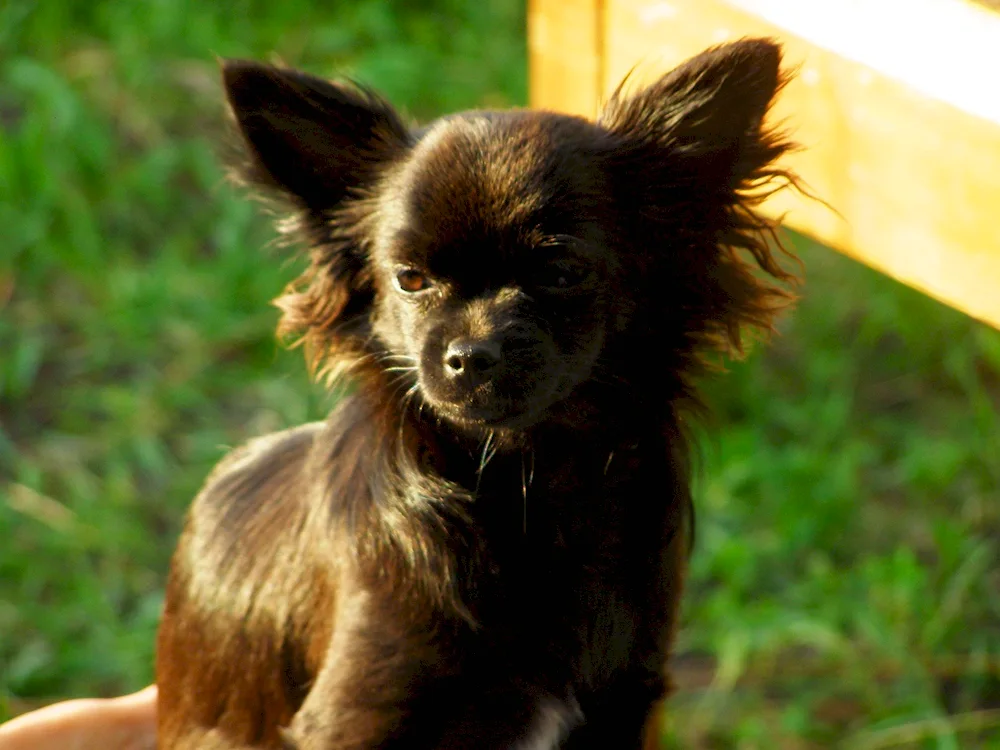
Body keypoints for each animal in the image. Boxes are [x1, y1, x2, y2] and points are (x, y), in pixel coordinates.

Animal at [154, 38, 796, 748]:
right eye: (409, 279)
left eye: (562, 271)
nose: (469, 355)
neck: (526, 482)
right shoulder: (358, 714)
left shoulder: (623, 700)